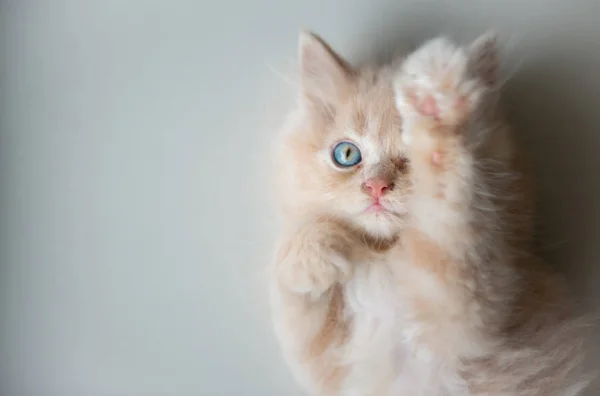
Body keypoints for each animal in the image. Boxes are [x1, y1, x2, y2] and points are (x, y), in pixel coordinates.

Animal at [268, 31, 592, 396]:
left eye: (408, 152)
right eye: (347, 154)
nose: (376, 186)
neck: (385, 257)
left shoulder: (468, 302)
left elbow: (444, 206)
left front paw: (435, 105)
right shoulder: (325, 361)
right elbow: (292, 294)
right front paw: (312, 258)